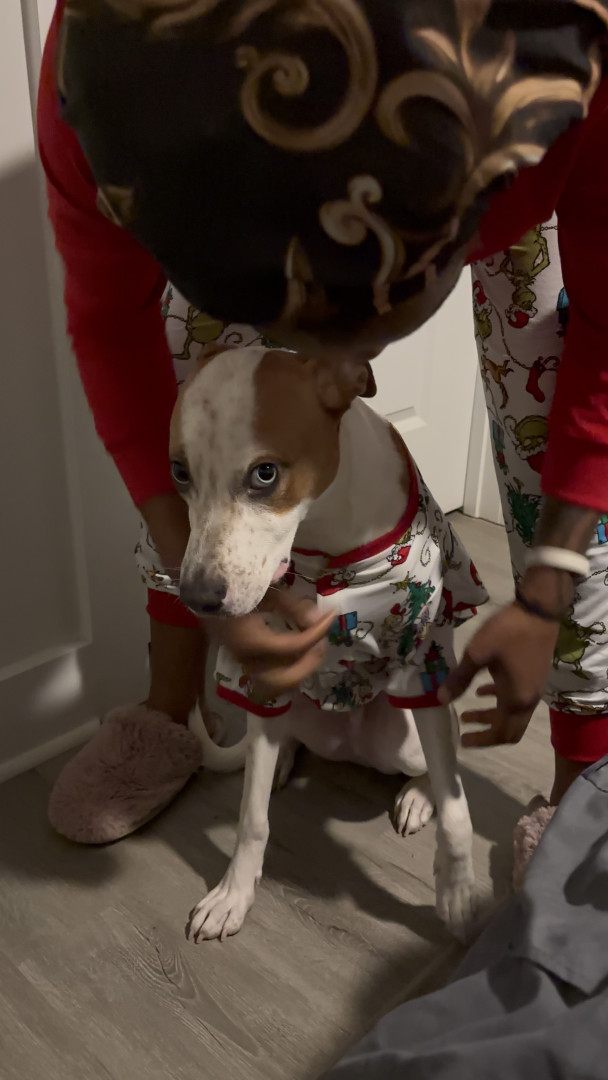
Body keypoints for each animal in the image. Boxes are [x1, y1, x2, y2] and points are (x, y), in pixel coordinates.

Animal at [170, 345, 488, 942]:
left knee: (440, 761)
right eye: (179, 471)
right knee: (275, 742)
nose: (196, 598)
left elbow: (458, 808)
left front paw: (458, 892)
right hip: (285, 705)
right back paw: (279, 761)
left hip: (405, 737)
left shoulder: (422, 661)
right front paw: (233, 894)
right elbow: (251, 819)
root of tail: (348, 743)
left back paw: (418, 796)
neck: (324, 536)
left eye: (265, 473)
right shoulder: (264, 669)